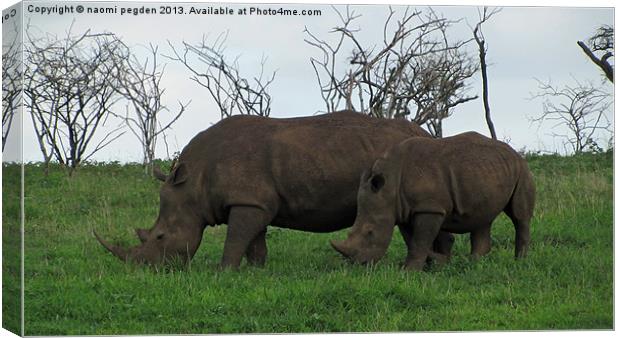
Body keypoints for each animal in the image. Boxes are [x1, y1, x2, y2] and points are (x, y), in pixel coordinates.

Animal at [93, 109, 450, 268]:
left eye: (160, 237)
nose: (143, 269)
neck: (193, 184)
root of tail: (426, 133)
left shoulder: (247, 202)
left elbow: (236, 239)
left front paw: (224, 272)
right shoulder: (254, 202)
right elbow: (254, 241)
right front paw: (256, 271)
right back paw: (438, 266)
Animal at [332, 131, 536, 270]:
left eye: (370, 232)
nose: (359, 265)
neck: (390, 183)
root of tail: (515, 152)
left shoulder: (429, 208)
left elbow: (419, 240)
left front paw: (408, 272)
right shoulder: (404, 209)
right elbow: (413, 240)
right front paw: (435, 263)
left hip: (522, 169)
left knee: (519, 217)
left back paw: (519, 262)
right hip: (488, 171)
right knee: (482, 217)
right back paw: (474, 265)